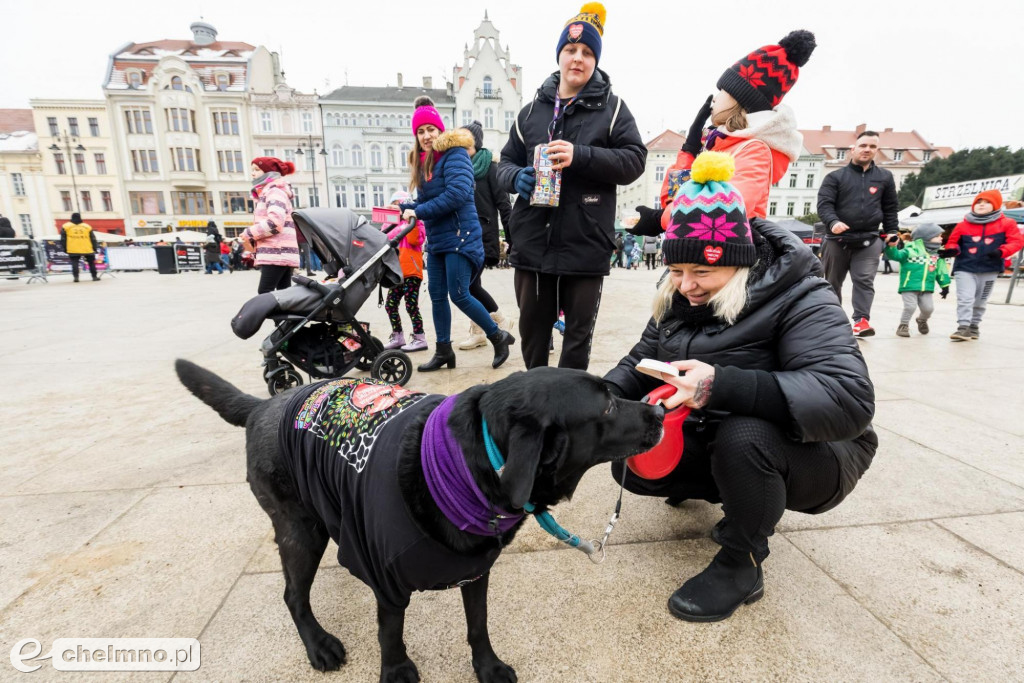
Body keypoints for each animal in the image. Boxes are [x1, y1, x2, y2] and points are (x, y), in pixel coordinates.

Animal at [176, 360, 663, 679]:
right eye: (606, 408)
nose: (659, 410)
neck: (467, 470)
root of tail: (263, 405)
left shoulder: (476, 570)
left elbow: (478, 625)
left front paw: (487, 667)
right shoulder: (388, 582)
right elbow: (390, 635)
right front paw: (396, 672)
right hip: (300, 530)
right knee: (293, 595)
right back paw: (318, 644)